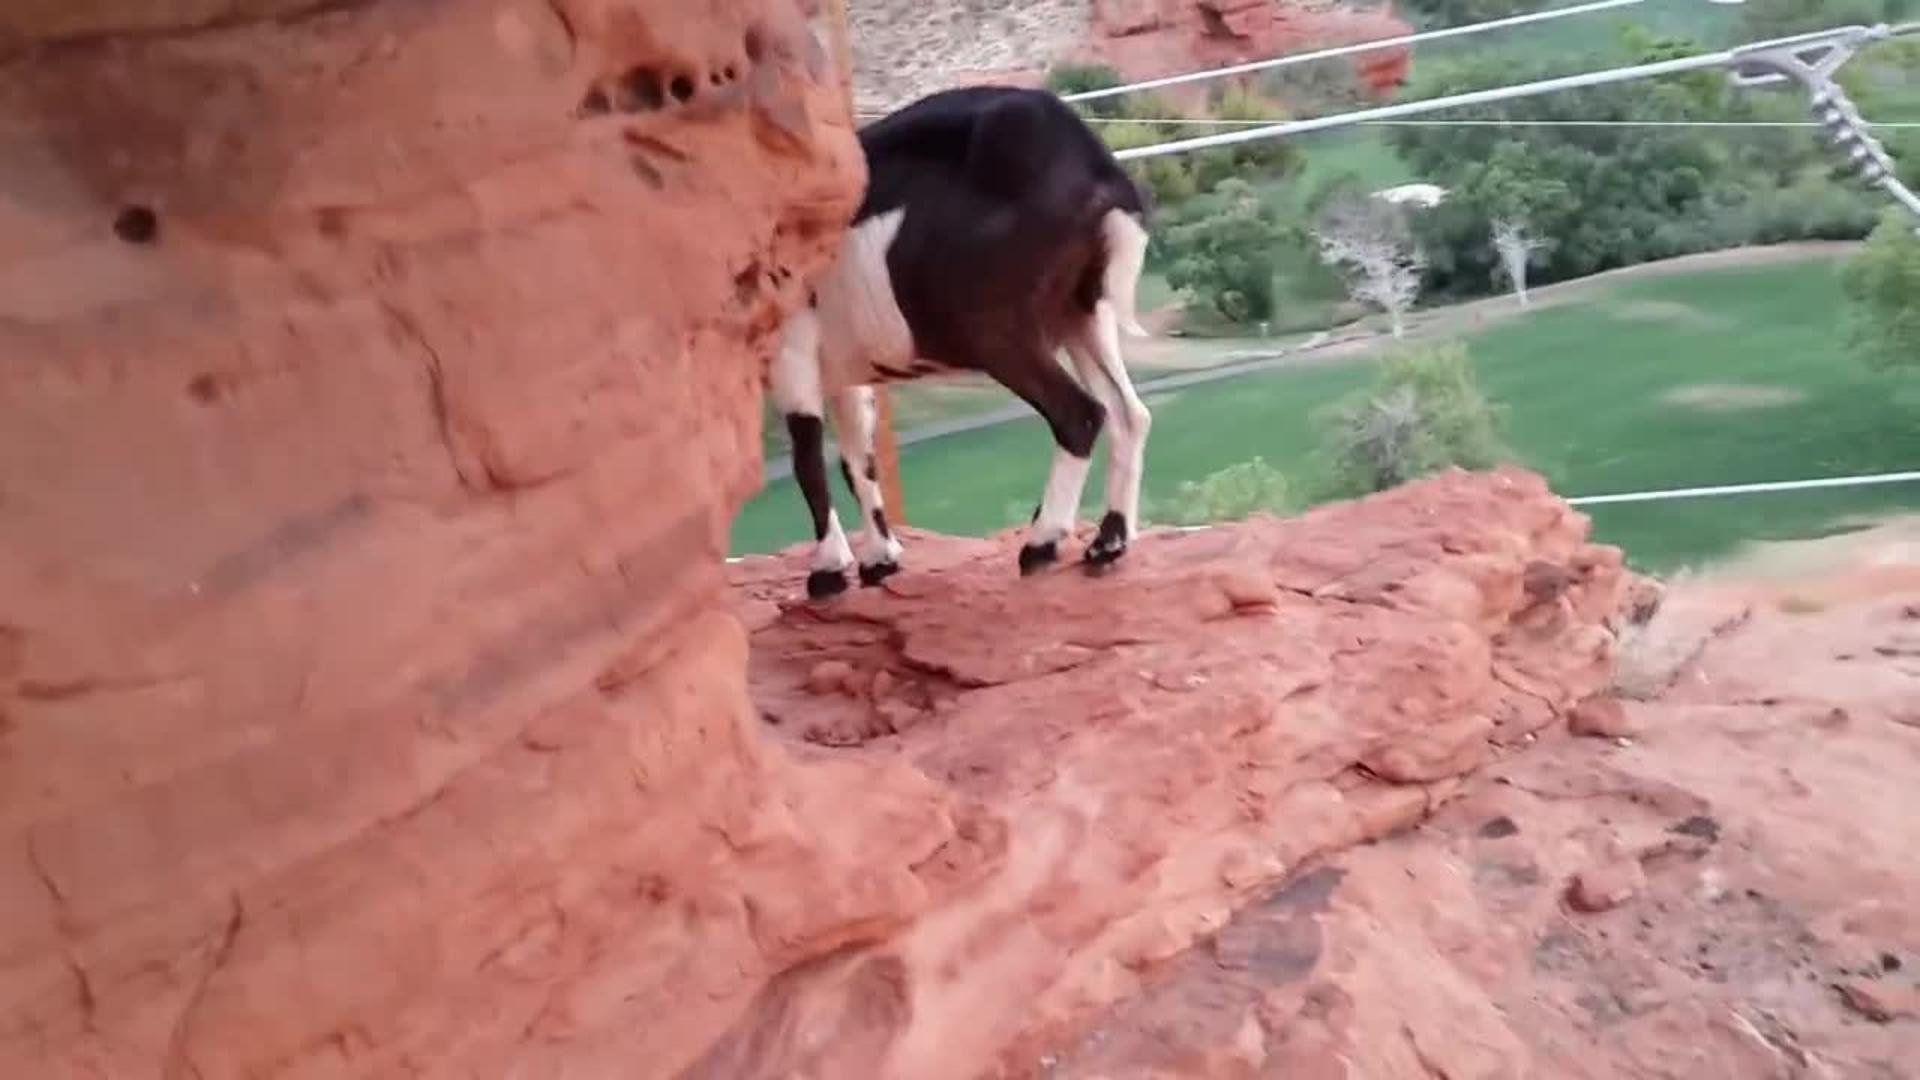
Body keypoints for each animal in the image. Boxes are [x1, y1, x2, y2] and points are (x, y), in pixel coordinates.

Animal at [771, 85, 1155, 599]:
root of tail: (1095, 166)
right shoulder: (842, 369)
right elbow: (858, 461)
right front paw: (879, 560)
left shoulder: (790, 350)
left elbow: (808, 461)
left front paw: (828, 571)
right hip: (1083, 310)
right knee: (1129, 412)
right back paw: (1108, 542)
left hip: (999, 329)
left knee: (1081, 414)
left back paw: (1042, 543)